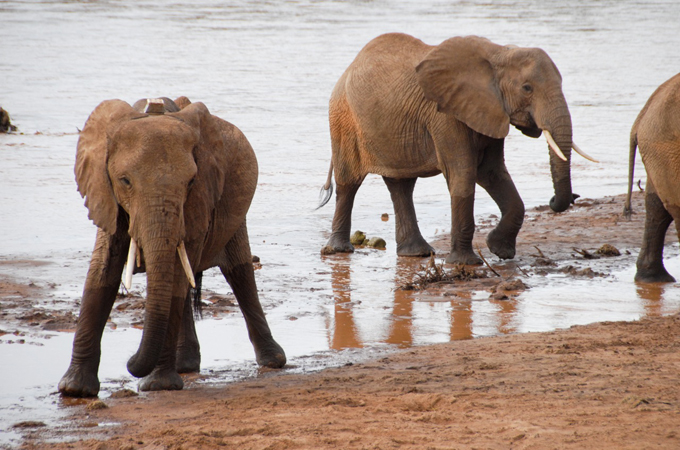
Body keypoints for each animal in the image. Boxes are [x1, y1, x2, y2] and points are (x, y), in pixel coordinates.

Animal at [59, 96, 286, 397]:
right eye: (124, 181)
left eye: (190, 182)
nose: (130, 361)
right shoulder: (105, 196)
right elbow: (100, 275)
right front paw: (74, 389)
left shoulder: (198, 200)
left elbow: (176, 276)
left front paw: (158, 386)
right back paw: (185, 365)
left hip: (235, 215)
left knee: (239, 273)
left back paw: (272, 361)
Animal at [318, 33, 595, 264]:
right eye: (527, 88)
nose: (561, 198)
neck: (499, 53)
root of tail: (348, 68)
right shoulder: (447, 116)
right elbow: (464, 175)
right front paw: (466, 263)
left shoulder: (489, 111)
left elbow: (493, 173)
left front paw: (500, 251)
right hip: (343, 120)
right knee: (349, 182)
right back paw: (339, 250)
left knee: (401, 186)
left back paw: (417, 253)